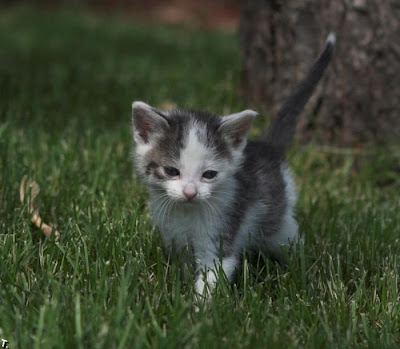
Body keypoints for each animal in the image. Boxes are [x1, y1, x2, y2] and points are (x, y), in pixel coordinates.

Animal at [131, 34, 334, 298]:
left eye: (209, 174)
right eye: (171, 171)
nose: (190, 192)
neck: (187, 212)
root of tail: (266, 147)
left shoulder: (222, 232)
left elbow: (213, 274)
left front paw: (200, 306)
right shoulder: (174, 237)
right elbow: (183, 264)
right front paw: (180, 289)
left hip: (277, 224)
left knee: (290, 239)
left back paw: (303, 271)